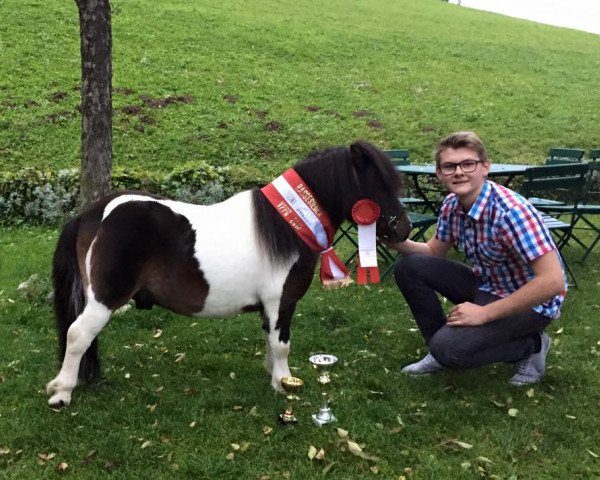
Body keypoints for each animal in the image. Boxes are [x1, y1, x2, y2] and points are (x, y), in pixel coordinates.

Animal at [47, 141, 412, 406]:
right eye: (378, 183)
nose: (403, 229)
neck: (287, 226)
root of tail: (93, 214)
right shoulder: (281, 302)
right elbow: (281, 344)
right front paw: (284, 384)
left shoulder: (270, 307)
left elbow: (270, 341)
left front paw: (273, 377)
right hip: (104, 299)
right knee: (78, 334)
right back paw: (62, 392)